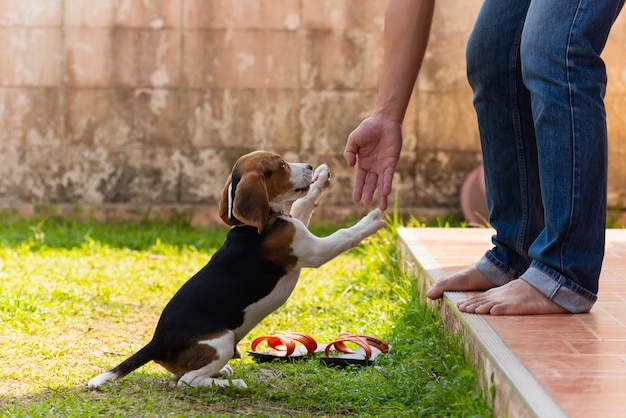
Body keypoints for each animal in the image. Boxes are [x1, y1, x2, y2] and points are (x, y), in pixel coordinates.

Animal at [85, 150, 382, 388]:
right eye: (282, 164)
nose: (309, 166)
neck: (251, 226)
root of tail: (156, 343)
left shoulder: (295, 226)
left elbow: (302, 203)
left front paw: (321, 178)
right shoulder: (313, 249)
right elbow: (344, 235)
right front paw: (371, 221)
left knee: (181, 375)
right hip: (222, 342)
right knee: (187, 381)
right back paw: (231, 383)